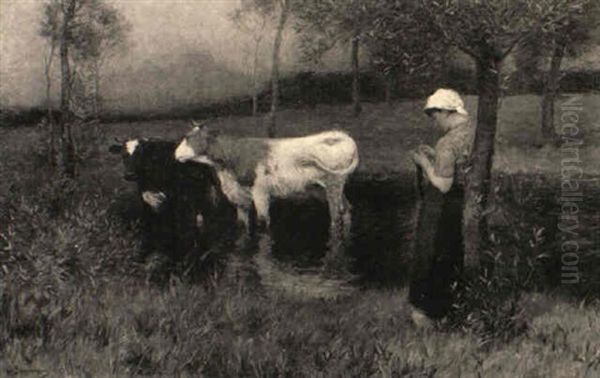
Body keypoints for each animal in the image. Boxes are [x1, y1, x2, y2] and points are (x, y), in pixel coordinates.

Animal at [176, 124, 358, 236]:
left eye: (188, 137)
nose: (175, 154)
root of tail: (339, 136)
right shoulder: (241, 198)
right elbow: (241, 224)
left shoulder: (261, 193)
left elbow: (263, 223)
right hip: (326, 187)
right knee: (347, 209)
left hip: (334, 184)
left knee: (336, 216)